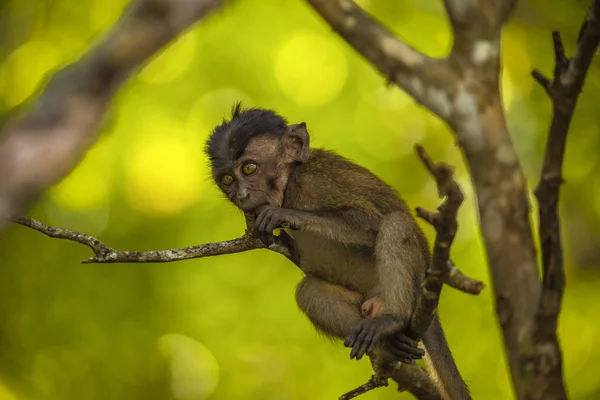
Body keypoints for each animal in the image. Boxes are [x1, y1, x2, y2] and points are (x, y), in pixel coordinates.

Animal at [206, 104, 474, 400]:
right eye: (227, 179)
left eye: (249, 168)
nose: (240, 195)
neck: (288, 185)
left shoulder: (314, 181)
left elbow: (368, 222)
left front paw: (282, 215)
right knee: (308, 292)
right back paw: (390, 343)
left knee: (395, 223)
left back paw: (393, 319)